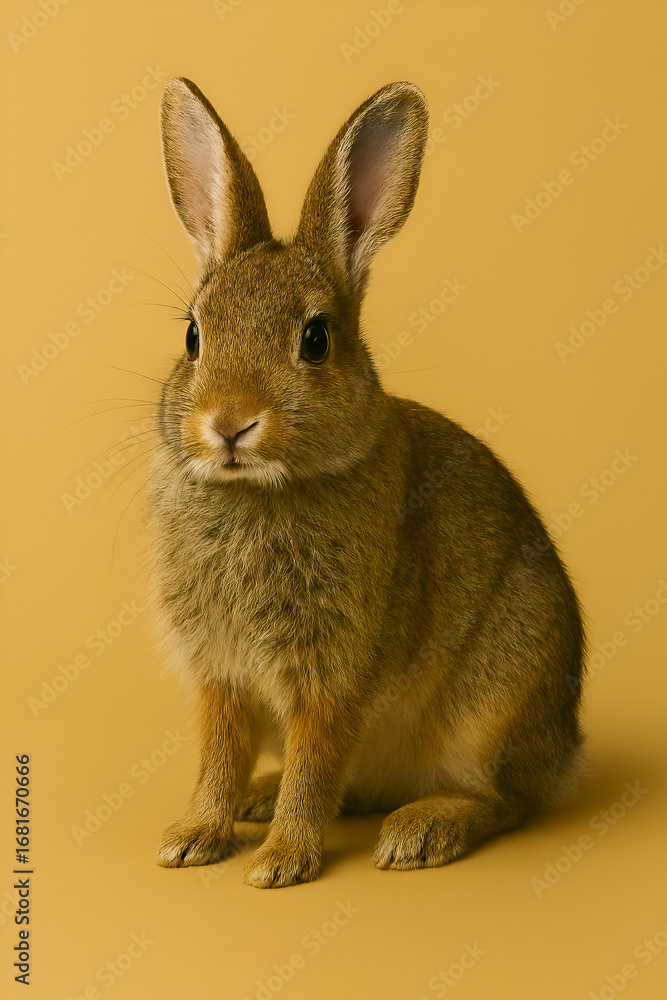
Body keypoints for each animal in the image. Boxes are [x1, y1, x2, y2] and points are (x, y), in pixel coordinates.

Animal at [147, 77, 586, 888]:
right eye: (192, 335)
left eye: (315, 339)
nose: (229, 423)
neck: (260, 491)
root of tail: (564, 749)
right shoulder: (221, 676)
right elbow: (219, 757)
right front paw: (193, 838)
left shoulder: (333, 674)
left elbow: (315, 761)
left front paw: (281, 861)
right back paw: (260, 799)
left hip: (493, 707)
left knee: (503, 801)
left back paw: (420, 832)